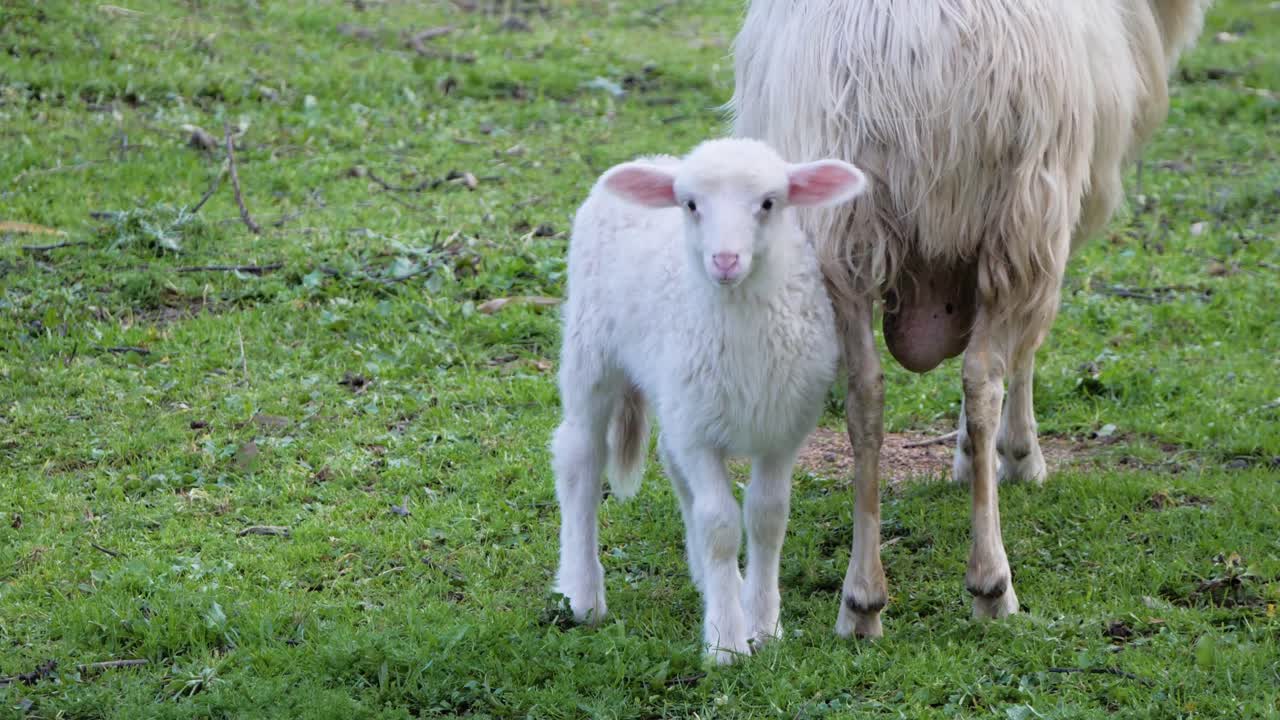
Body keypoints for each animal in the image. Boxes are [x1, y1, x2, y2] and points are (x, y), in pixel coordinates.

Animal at [551, 138, 866, 663]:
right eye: (691, 205)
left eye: (769, 203)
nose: (724, 261)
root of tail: (655, 159)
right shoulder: (701, 436)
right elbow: (720, 525)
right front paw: (726, 643)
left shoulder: (779, 430)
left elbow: (766, 517)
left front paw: (764, 624)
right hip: (590, 351)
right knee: (580, 460)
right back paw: (583, 593)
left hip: (679, 396)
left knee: (671, 463)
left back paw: (716, 582)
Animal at [731, 0, 1213, 638]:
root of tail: (916, 54)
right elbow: (1025, 353)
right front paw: (1016, 456)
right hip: (1025, 209)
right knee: (985, 377)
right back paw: (992, 584)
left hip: (839, 231)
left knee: (867, 394)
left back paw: (862, 601)